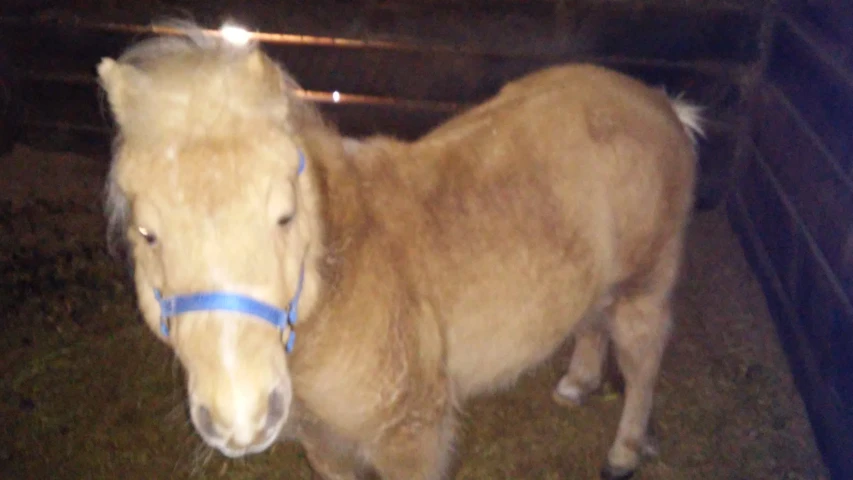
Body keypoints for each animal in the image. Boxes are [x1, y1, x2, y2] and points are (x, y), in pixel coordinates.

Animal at [96, 24, 704, 480]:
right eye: (146, 233)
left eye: (284, 215)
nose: (239, 415)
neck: (347, 282)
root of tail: (659, 103)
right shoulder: (327, 447)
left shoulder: (411, 441)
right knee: (592, 321)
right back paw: (577, 385)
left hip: (645, 285)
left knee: (642, 358)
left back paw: (624, 452)